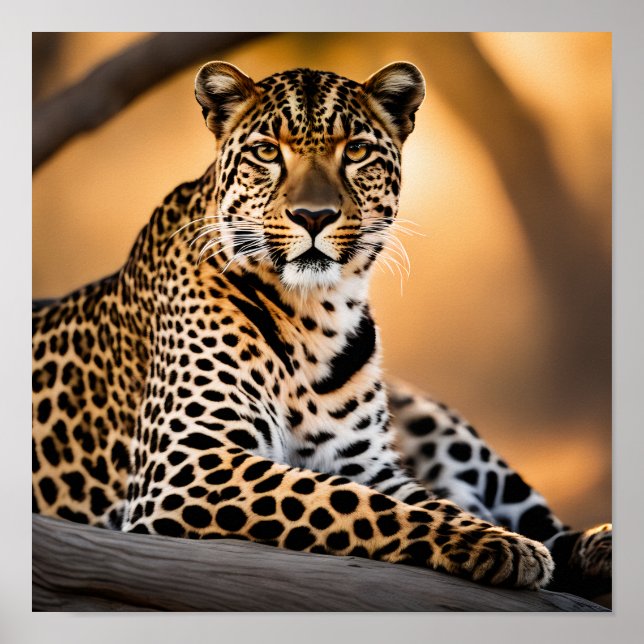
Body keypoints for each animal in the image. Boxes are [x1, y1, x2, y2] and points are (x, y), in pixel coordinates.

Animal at [32, 60, 611, 598]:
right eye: (267, 152)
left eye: (354, 151)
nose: (314, 216)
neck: (317, 315)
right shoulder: (187, 465)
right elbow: (343, 499)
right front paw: (493, 543)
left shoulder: (368, 462)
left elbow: (416, 498)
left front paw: (501, 537)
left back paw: (598, 546)